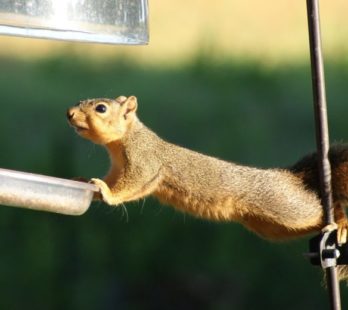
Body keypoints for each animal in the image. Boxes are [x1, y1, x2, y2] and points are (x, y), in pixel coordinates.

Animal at [67, 95, 348, 274]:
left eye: (101, 108)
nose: (69, 114)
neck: (123, 141)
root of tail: (289, 175)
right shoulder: (117, 168)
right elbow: (113, 181)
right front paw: (86, 183)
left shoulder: (145, 163)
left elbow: (130, 186)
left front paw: (106, 192)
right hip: (270, 226)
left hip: (285, 206)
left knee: (319, 208)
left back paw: (340, 221)